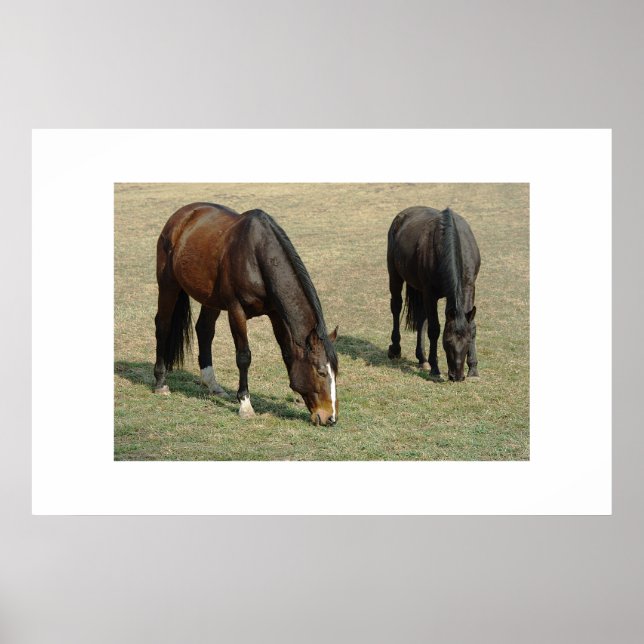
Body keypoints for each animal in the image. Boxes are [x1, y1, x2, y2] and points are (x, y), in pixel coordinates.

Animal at [153, 203, 338, 426]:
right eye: (320, 372)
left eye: (336, 372)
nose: (330, 418)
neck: (257, 255)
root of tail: (181, 216)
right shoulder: (236, 311)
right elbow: (244, 356)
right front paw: (245, 404)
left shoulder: (276, 314)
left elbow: (287, 352)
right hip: (168, 284)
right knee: (162, 326)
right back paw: (160, 382)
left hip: (210, 299)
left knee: (204, 330)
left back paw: (212, 385)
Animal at [387, 206, 481, 381]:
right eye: (448, 341)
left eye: (467, 341)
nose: (457, 376)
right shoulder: (430, 294)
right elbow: (434, 329)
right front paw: (435, 369)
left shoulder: (470, 288)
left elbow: (472, 325)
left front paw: (473, 369)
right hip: (395, 275)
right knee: (396, 306)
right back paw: (395, 349)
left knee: (421, 318)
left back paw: (422, 358)